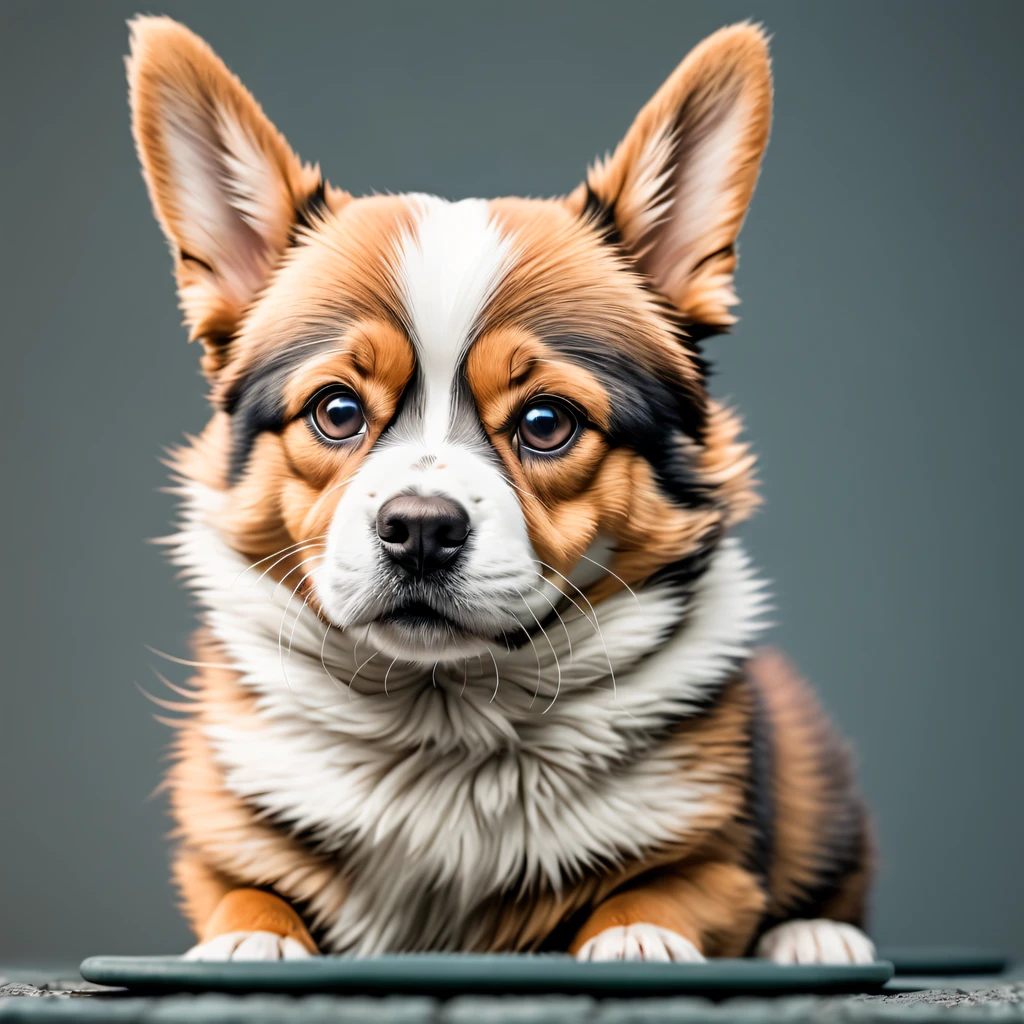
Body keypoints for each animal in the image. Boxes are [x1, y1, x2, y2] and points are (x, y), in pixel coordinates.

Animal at [128, 14, 876, 958]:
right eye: (336, 411)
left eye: (546, 422)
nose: (418, 528)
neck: (441, 715)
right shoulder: (221, 839)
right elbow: (248, 892)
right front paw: (252, 942)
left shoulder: (718, 854)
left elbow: (663, 888)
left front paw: (636, 938)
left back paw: (816, 936)